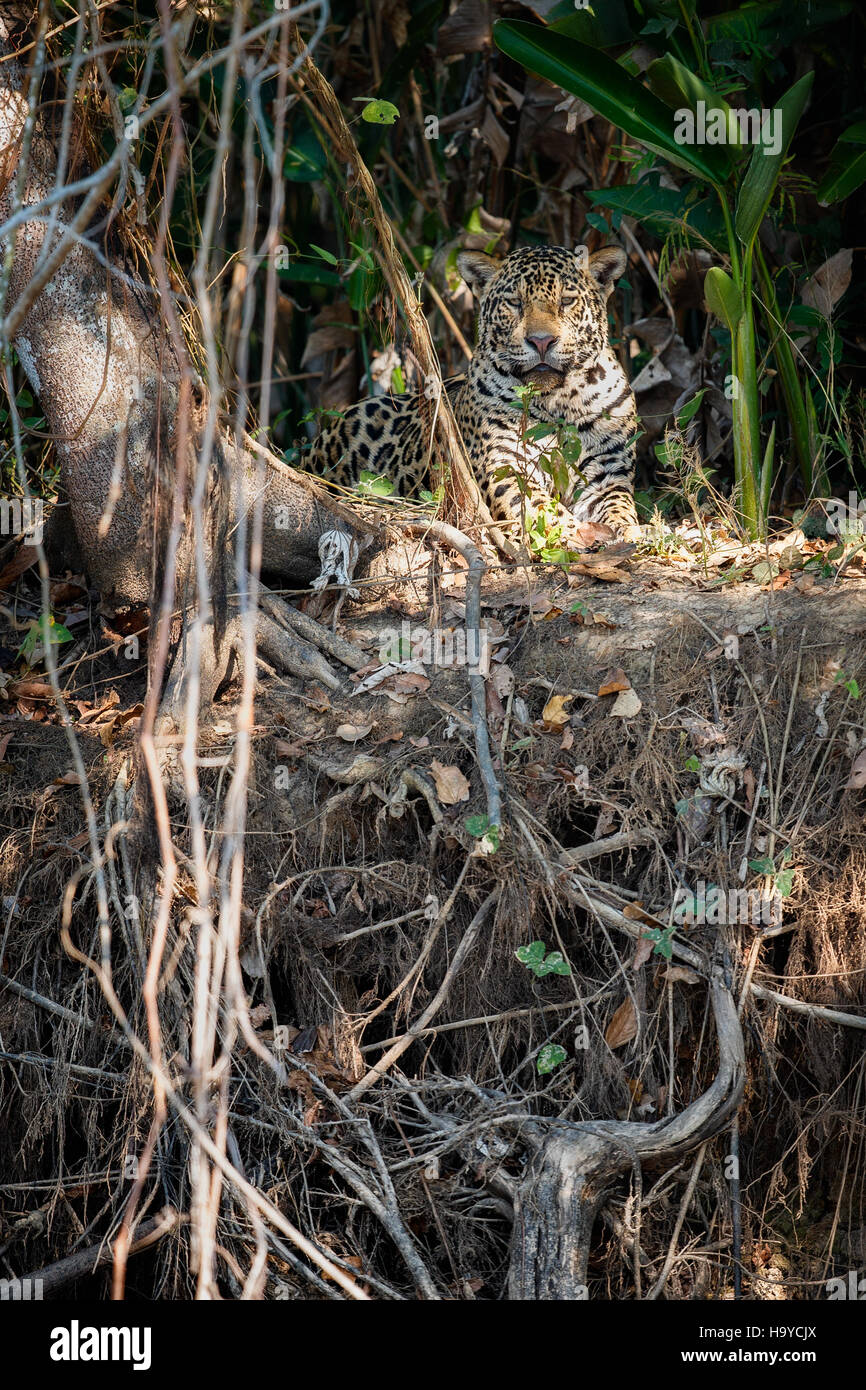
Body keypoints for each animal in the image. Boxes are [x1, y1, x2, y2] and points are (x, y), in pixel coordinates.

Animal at [307, 243, 640, 547]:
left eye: (567, 301)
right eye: (515, 303)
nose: (541, 341)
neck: (558, 400)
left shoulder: (607, 470)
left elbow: (619, 505)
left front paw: (632, 531)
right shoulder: (504, 466)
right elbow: (539, 507)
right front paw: (573, 533)